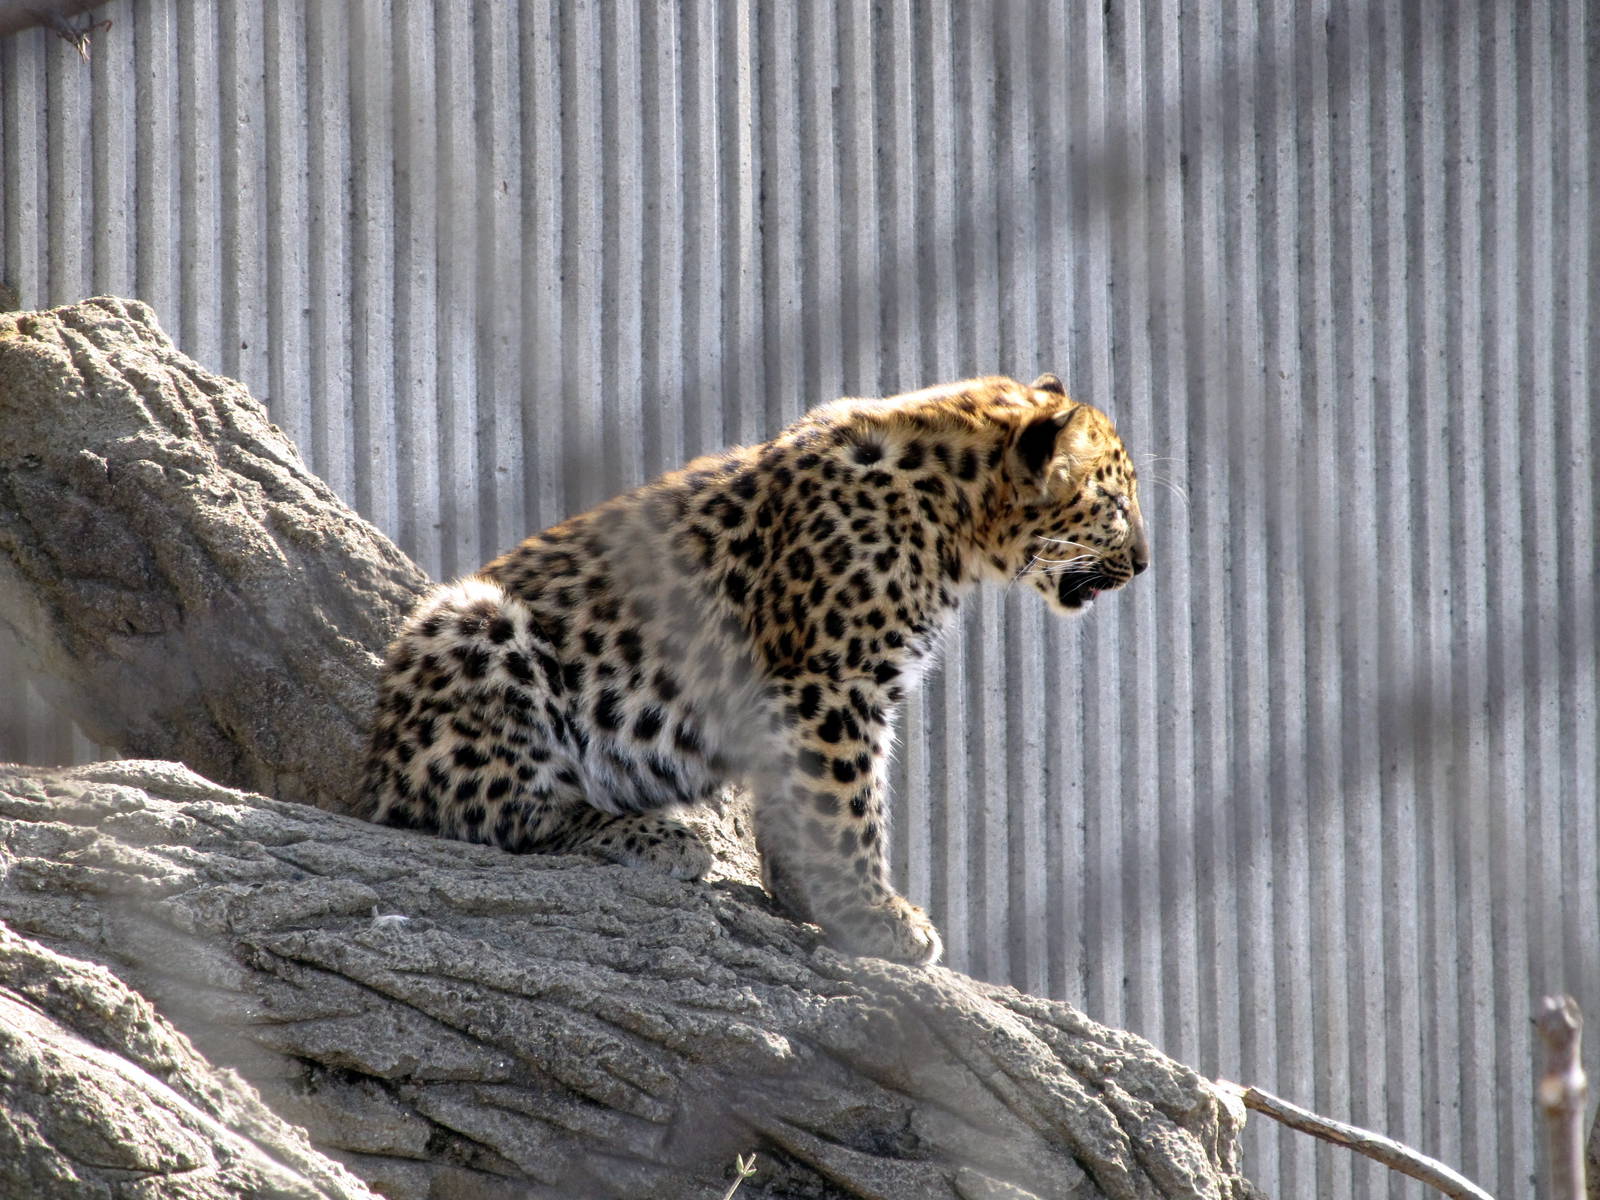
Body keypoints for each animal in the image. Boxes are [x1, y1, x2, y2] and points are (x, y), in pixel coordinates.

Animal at [362, 374, 1148, 965]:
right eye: (1115, 504)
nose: (1144, 563)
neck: (951, 519)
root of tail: (375, 771)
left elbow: (800, 804)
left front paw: (806, 898)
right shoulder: (831, 683)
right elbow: (847, 807)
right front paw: (873, 916)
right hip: (479, 623)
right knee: (489, 810)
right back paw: (653, 836)